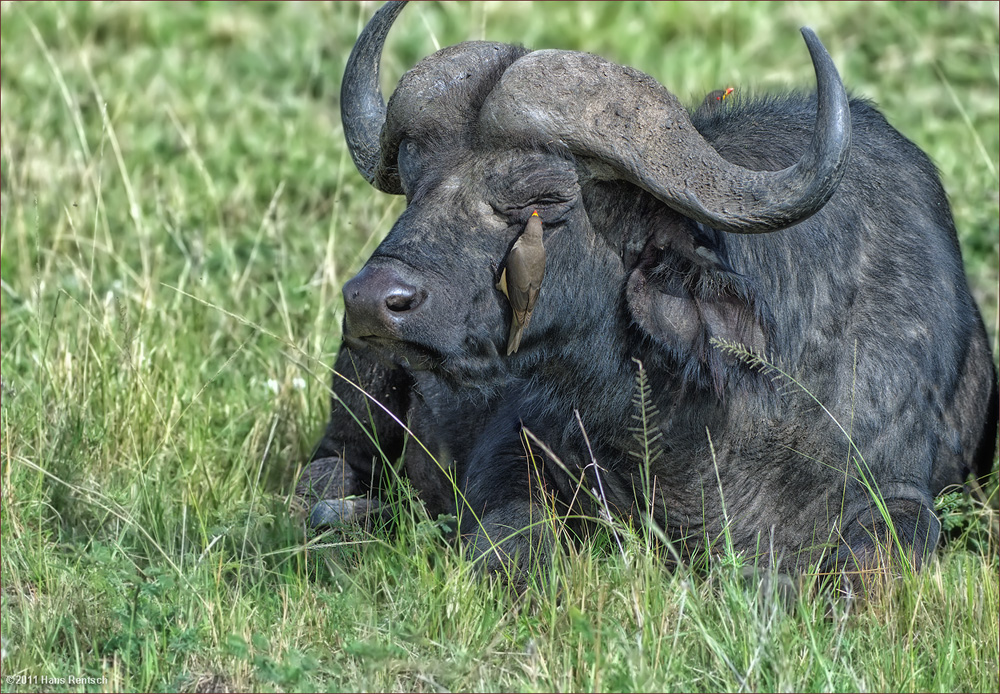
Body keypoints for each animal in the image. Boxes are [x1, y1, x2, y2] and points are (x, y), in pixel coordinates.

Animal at [298, 1, 1000, 592]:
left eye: (543, 198)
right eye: (414, 184)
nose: (369, 300)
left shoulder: (899, 490)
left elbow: (881, 556)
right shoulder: (514, 455)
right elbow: (512, 537)